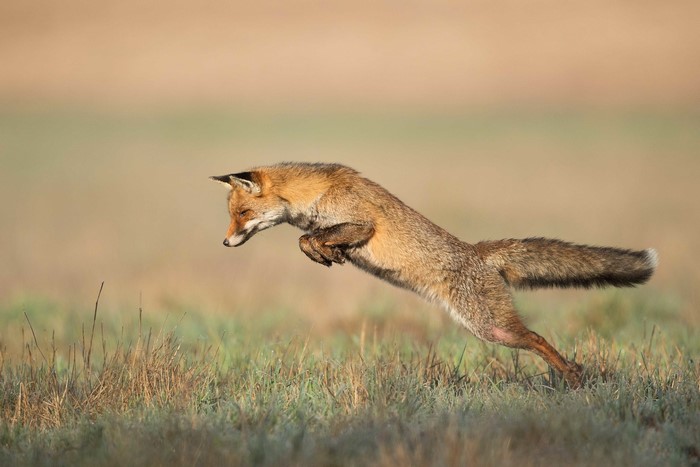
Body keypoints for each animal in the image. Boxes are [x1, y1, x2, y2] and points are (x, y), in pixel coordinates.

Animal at [210, 162, 657, 388]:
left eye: (243, 214)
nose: (225, 243)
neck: (313, 196)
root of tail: (478, 252)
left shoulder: (363, 225)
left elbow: (308, 238)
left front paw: (323, 250)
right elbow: (307, 239)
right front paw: (326, 253)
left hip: (491, 327)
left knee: (536, 338)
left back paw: (572, 375)